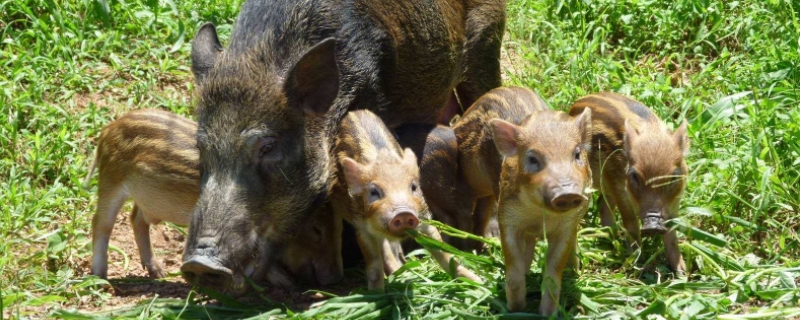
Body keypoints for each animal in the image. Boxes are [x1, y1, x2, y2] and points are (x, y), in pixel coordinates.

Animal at [86, 110, 342, 288]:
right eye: (317, 230)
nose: (334, 279)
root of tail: (107, 130)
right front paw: (283, 283)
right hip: (110, 181)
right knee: (101, 223)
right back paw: (100, 277)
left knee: (136, 219)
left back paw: (157, 272)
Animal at [330, 110, 482, 290]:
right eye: (374, 192)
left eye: (413, 186)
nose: (402, 213)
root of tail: (355, 112)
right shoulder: (360, 225)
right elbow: (374, 268)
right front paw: (377, 293)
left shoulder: (423, 215)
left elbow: (443, 252)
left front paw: (478, 282)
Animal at [568, 92, 688, 272]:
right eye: (634, 176)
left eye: (673, 177)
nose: (652, 224)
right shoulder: (618, 185)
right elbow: (631, 222)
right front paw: (637, 262)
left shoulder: (675, 200)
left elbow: (671, 230)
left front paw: (682, 271)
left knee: (602, 205)